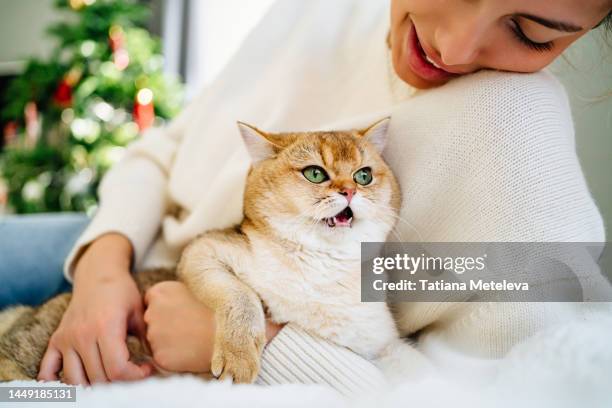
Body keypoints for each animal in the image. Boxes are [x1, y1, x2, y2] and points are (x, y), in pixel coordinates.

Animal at [1, 117, 406, 382]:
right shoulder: (202, 252)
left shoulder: (375, 344)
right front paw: (239, 355)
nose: (349, 191)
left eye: (364, 176)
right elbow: (241, 296)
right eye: (315, 173)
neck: (319, 268)